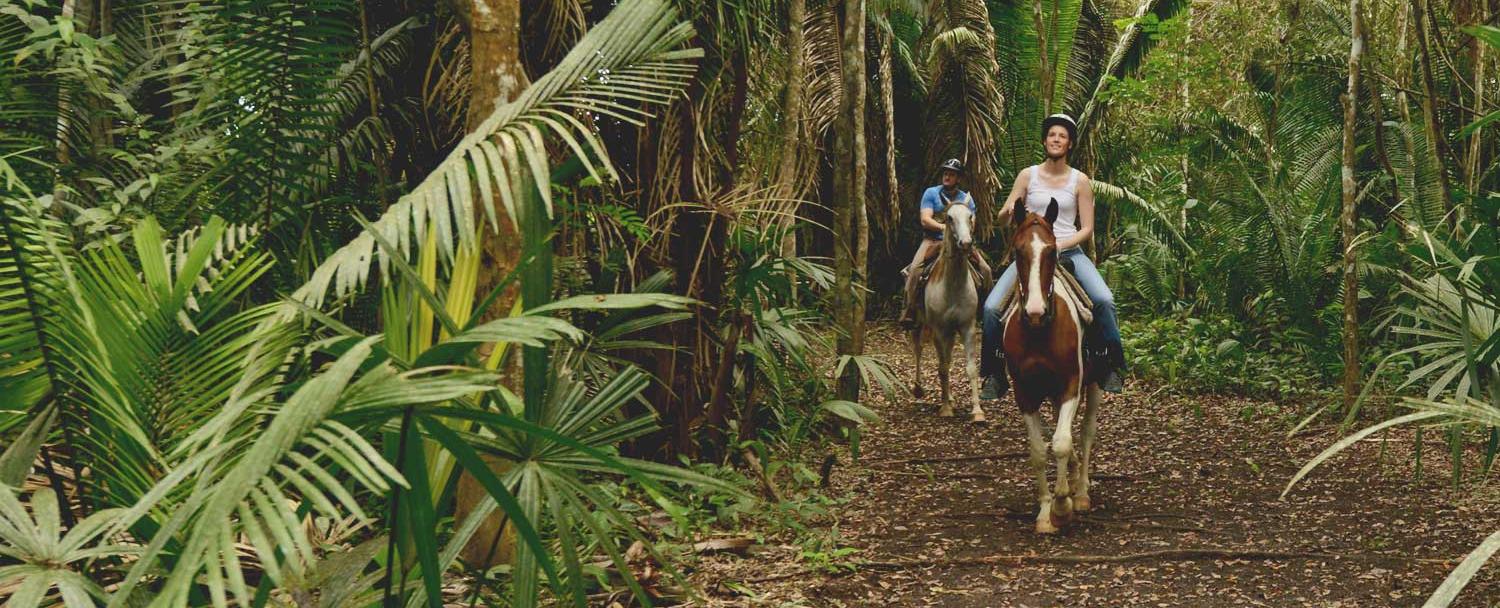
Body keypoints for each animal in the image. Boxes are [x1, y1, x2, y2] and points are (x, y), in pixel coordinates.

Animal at [912, 199, 984, 420]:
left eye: (970, 216)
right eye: (949, 218)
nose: (966, 243)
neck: (953, 284)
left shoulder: (967, 327)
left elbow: (970, 368)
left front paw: (977, 412)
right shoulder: (939, 330)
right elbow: (942, 367)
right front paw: (945, 409)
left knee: (948, 357)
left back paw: (950, 397)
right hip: (919, 323)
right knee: (918, 349)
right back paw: (918, 389)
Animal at [1002, 198, 1110, 531]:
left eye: (1051, 251)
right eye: (1017, 251)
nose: (1035, 311)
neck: (1039, 331)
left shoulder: (1071, 384)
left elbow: (1061, 442)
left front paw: (1063, 507)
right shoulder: (1024, 392)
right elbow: (1039, 450)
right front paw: (1045, 513)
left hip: (1094, 384)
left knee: (1086, 431)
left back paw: (1082, 492)